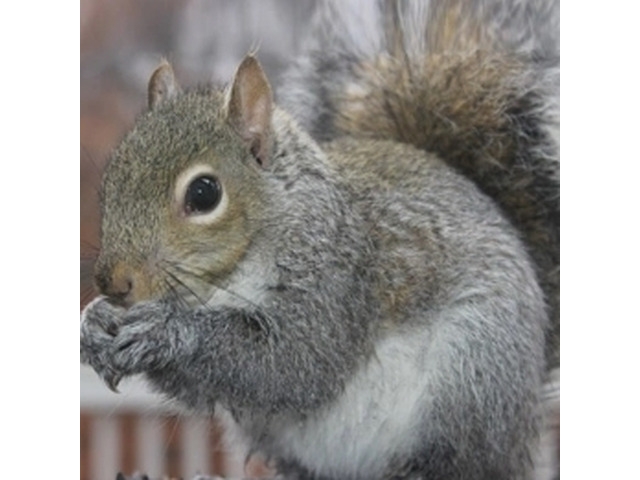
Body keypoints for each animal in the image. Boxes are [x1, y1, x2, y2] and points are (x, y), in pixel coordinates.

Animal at [81, 0, 559, 479]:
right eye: (111, 178)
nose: (114, 282)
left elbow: (295, 362)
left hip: (474, 374)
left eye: (203, 194)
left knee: (461, 460)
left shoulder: (338, 279)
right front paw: (95, 321)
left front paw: (168, 330)